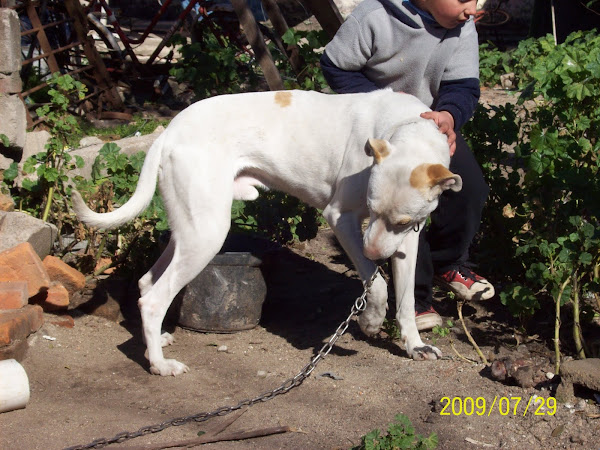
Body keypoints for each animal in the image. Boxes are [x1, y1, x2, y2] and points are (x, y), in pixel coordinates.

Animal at [72, 89, 462, 376]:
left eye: (402, 222)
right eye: (371, 205)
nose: (376, 254)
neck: (404, 126)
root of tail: (169, 130)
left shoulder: (408, 240)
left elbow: (406, 299)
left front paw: (414, 345)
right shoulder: (340, 218)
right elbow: (377, 282)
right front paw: (370, 319)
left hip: (189, 230)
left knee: (146, 283)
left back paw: (157, 343)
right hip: (207, 234)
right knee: (153, 299)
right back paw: (159, 365)